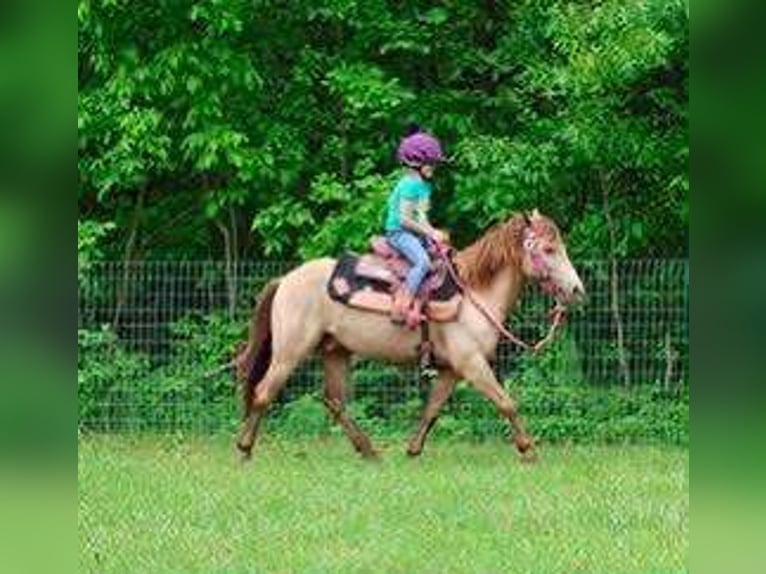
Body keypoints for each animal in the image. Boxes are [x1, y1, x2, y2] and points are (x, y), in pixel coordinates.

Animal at [234, 209, 585, 462]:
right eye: (549, 249)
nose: (577, 290)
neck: (474, 295)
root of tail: (285, 279)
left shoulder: (451, 370)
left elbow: (432, 409)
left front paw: (413, 450)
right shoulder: (471, 364)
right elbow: (506, 402)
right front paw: (528, 449)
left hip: (335, 351)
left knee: (334, 401)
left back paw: (369, 451)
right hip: (289, 352)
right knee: (264, 392)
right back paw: (245, 448)